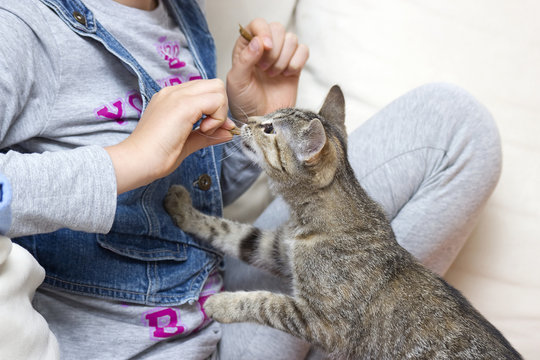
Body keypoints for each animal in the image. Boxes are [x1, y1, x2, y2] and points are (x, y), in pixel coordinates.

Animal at [163, 86, 520, 358]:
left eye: (269, 129)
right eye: (267, 119)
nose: (247, 120)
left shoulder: (321, 321)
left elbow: (265, 302)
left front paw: (221, 303)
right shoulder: (276, 249)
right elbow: (232, 231)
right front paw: (183, 210)